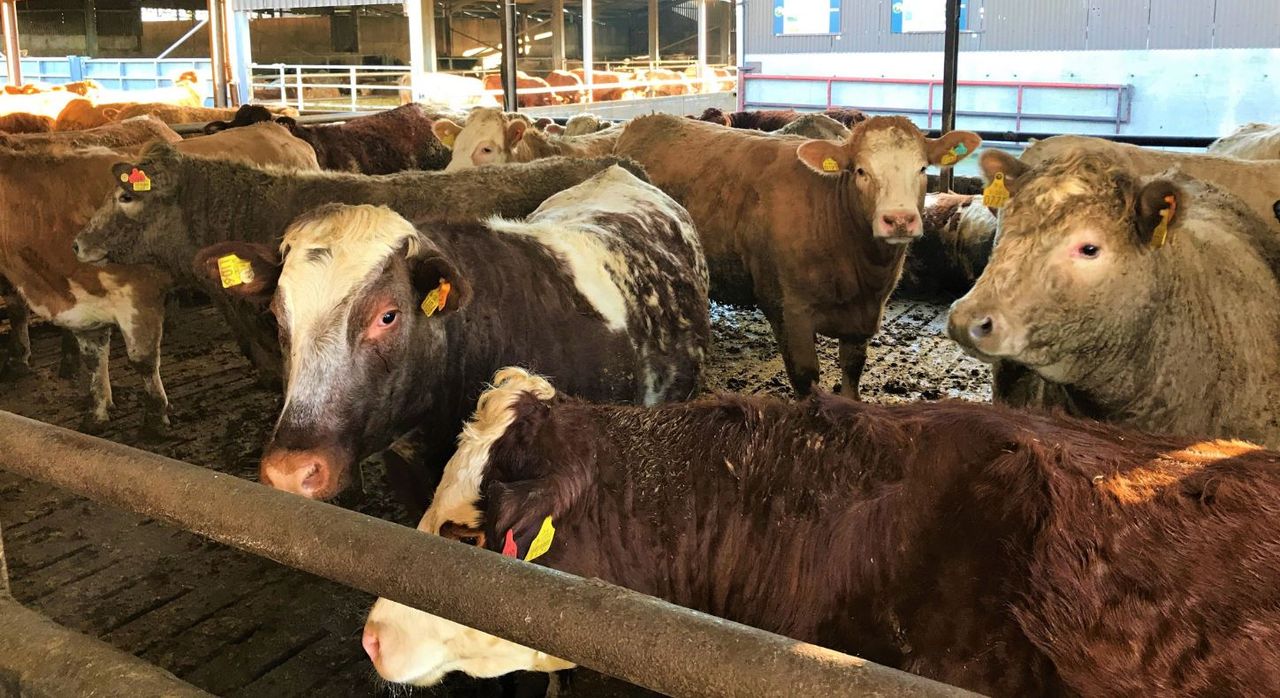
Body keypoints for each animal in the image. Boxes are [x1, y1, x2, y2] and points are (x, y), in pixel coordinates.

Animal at [616, 114, 980, 396]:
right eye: (860, 170)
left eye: (922, 168)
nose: (899, 219)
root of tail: (644, 121)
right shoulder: (788, 311)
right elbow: (805, 378)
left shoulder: (861, 318)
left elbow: (852, 373)